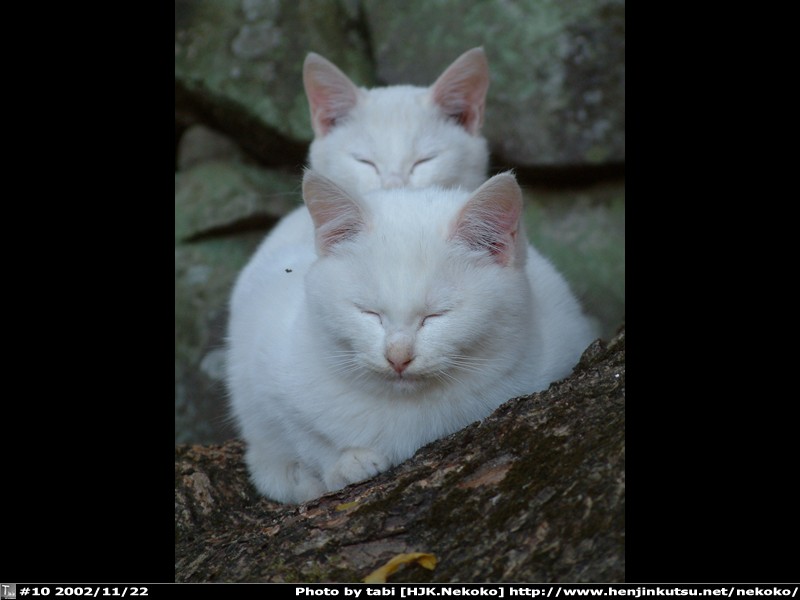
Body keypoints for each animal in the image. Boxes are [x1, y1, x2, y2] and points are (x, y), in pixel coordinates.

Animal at [226, 170, 597, 504]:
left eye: (436, 315)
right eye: (369, 313)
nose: (398, 356)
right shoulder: (261, 358)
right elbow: (300, 432)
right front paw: (343, 464)